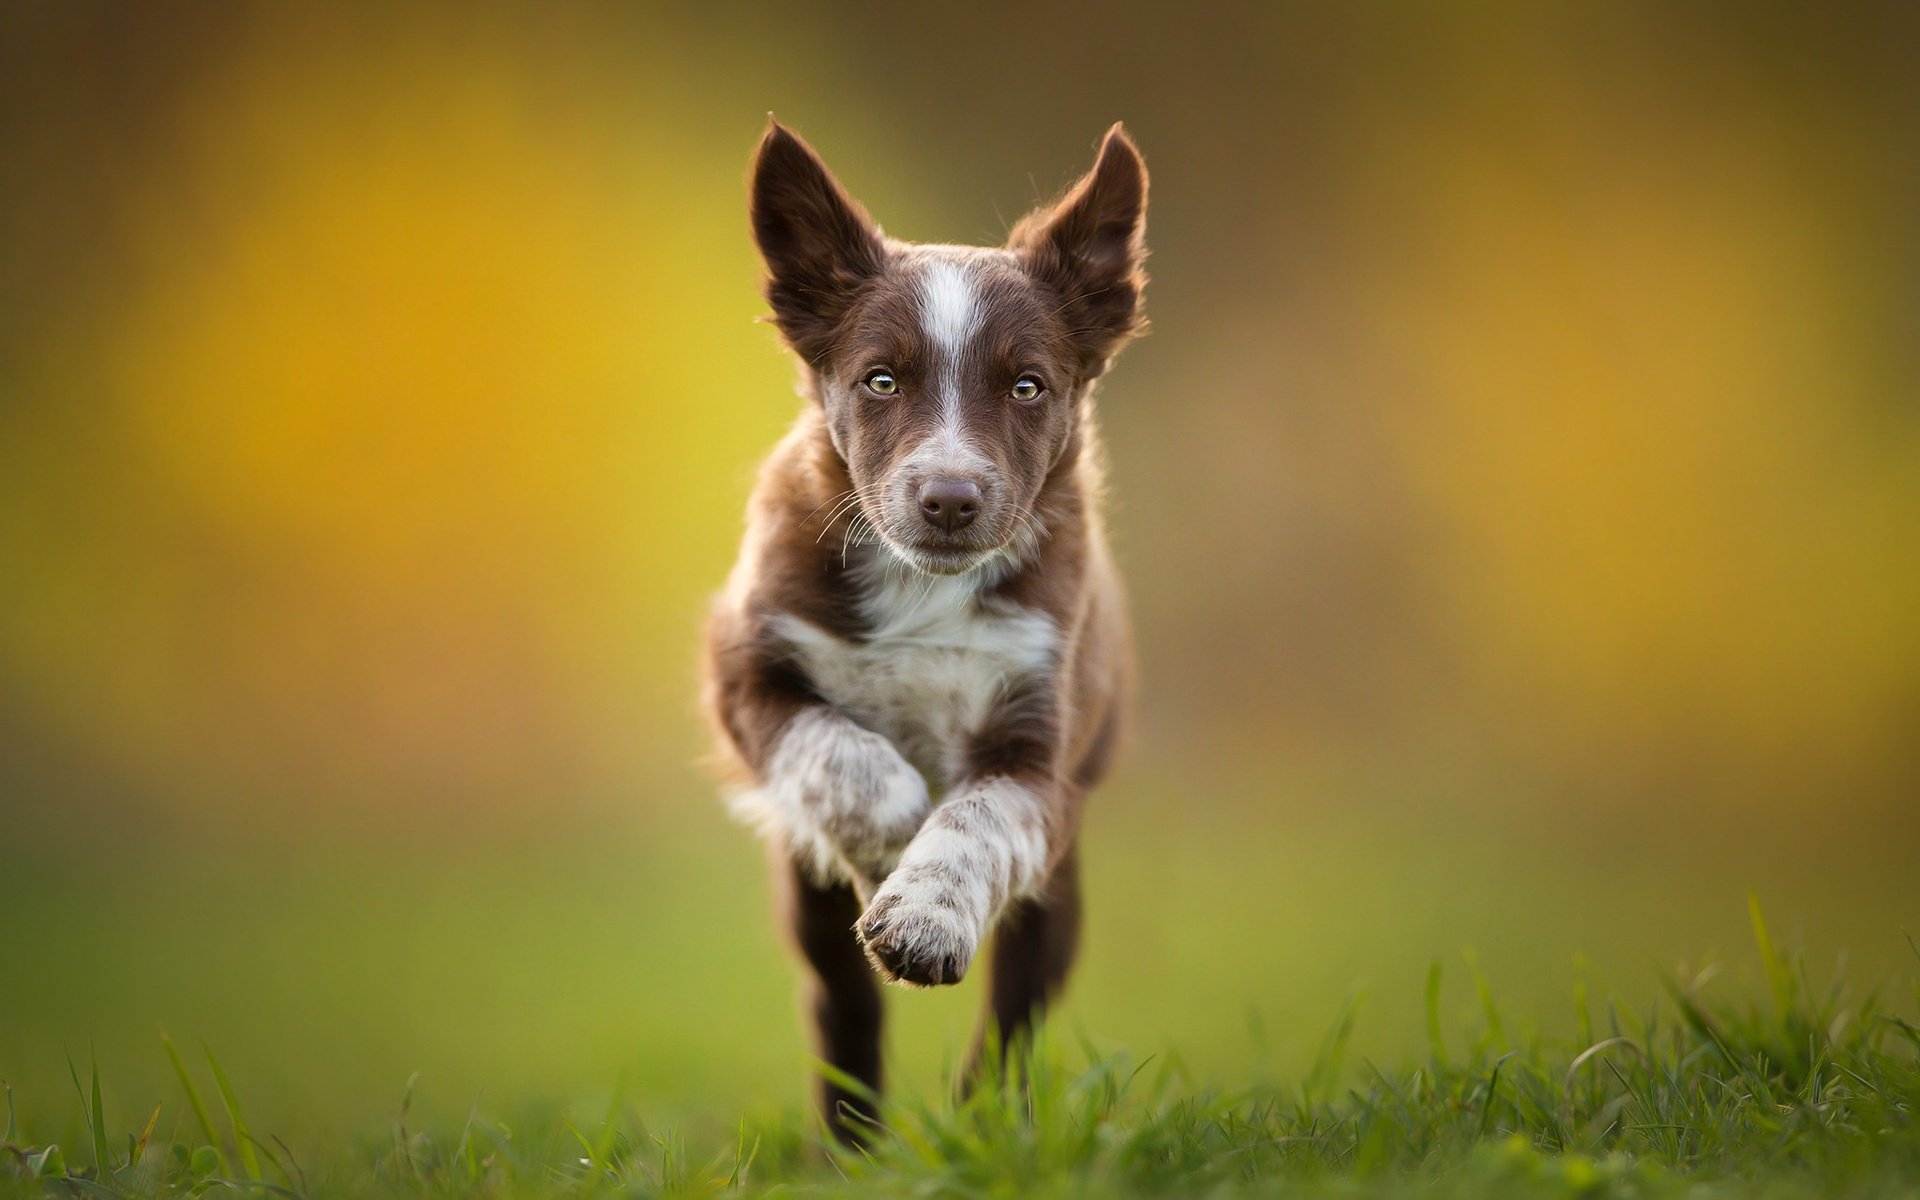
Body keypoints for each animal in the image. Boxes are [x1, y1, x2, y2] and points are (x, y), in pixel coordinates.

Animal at [710, 121, 1144, 1144]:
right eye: (880, 380)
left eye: (1027, 387)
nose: (949, 499)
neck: (923, 585)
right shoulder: (743, 668)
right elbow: (836, 749)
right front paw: (891, 834)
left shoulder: (1039, 751)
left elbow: (974, 822)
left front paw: (923, 915)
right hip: (807, 902)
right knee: (841, 1002)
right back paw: (851, 1146)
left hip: (1057, 892)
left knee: (1018, 1010)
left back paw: (987, 1124)